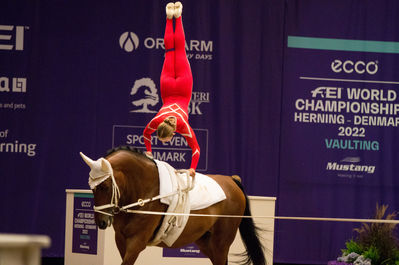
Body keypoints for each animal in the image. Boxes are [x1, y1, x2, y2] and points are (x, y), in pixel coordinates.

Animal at [79, 145, 266, 262]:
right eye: (91, 187)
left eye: (104, 186)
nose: (101, 222)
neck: (144, 191)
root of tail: (232, 180)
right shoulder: (121, 239)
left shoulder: (137, 242)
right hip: (205, 241)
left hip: (221, 242)